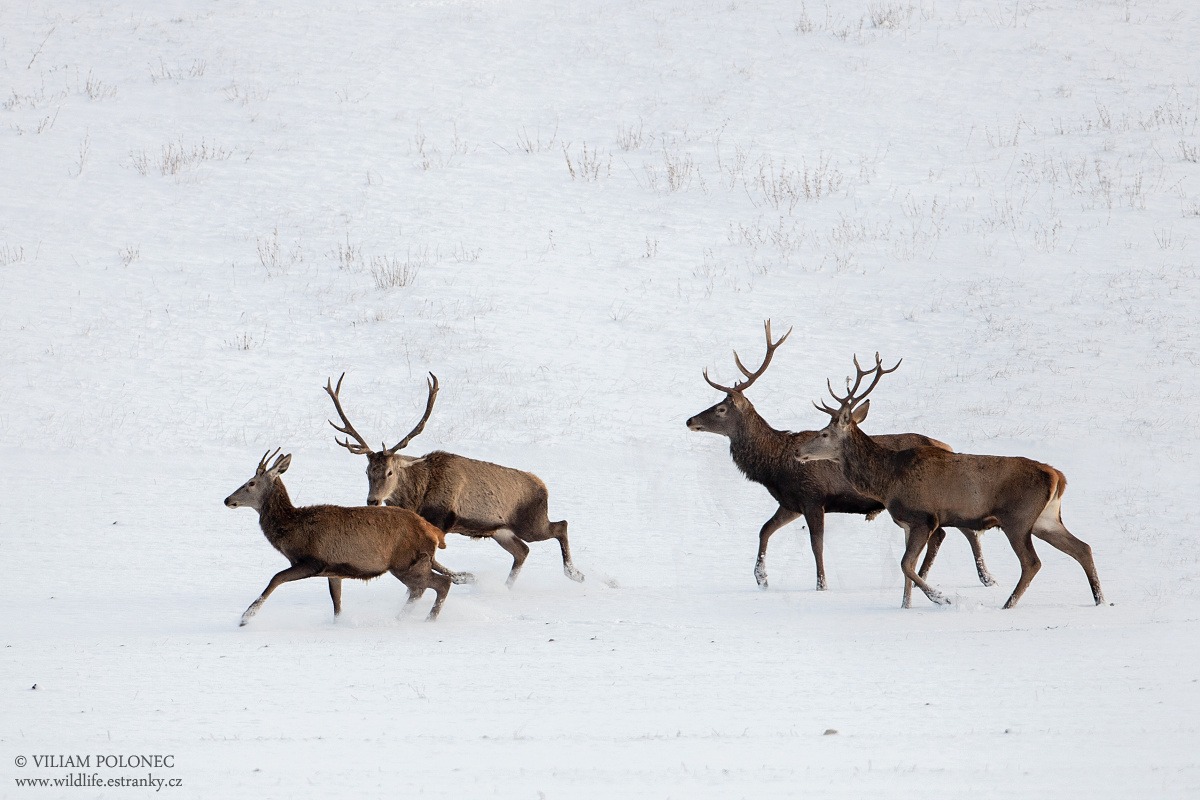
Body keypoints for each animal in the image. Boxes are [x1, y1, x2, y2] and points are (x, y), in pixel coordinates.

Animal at [224, 450, 453, 623]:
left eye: (251, 483)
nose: (227, 499)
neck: (292, 531)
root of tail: (434, 532)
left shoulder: (312, 561)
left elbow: (276, 578)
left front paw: (246, 617)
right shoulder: (333, 570)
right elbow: (336, 602)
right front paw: (338, 624)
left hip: (406, 562)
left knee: (440, 583)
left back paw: (428, 619)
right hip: (414, 562)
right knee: (422, 588)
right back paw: (401, 618)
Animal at [686, 321, 993, 592]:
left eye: (721, 409)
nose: (690, 420)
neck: (774, 467)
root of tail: (948, 447)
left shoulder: (813, 497)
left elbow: (816, 544)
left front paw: (821, 585)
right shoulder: (791, 503)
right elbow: (764, 530)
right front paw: (761, 579)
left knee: (955, 531)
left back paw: (977, 577)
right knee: (960, 530)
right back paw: (980, 577)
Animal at [796, 352, 1104, 609]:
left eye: (824, 433)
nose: (798, 452)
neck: (887, 480)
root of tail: (1057, 476)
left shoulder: (925, 517)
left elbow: (906, 566)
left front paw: (941, 598)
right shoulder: (907, 523)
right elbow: (908, 570)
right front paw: (905, 606)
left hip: (1018, 518)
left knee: (1032, 562)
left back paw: (1008, 604)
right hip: (1045, 519)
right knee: (1083, 548)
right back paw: (1099, 598)